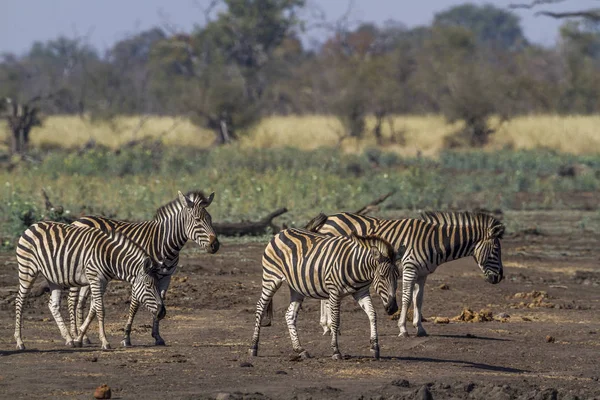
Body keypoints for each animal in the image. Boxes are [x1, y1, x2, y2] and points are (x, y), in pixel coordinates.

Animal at [14, 222, 164, 350]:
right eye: (148, 286)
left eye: (158, 285)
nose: (162, 312)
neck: (109, 256)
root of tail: (32, 226)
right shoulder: (95, 279)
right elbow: (100, 310)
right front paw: (104, 342)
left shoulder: (102, 282)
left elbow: (93, 310)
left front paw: (79, 338)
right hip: (27, 270)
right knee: (20, 301)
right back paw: (20, 342)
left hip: (53, 278)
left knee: (53, 305)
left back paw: (68, 339)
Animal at [248, 227, 404, 360]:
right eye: (382, 276)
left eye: (398, 276)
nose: (393, 308)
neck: (357, 266)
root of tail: (281, 232)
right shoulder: (334, 292)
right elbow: (335, 320)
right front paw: (335, 351)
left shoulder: (361, 292)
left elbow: (372, 314)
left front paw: (375, 347)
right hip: (271, 277)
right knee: (260, 307)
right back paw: (253, 347)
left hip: (296, 287)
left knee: (289, 315)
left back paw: (300, 349)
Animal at [308, 211, 504, 340]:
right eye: (495, 250)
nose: (499, 278)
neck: (434, 241)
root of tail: (330, 217)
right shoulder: (410, 269)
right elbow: (406, 298)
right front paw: (403, 328)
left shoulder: (422, 274)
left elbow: (418, 299)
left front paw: (420, 328)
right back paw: (329, 327)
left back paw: (327, 326)